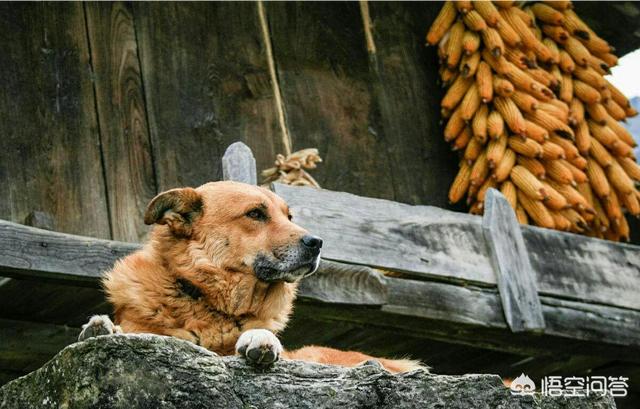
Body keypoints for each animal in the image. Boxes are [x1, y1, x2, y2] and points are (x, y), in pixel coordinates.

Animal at [79, 180, 420, 372]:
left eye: (288, 216)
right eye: (255, 213)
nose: (317, 243)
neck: (208, 300)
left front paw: (260, 338)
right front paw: (102, 327)